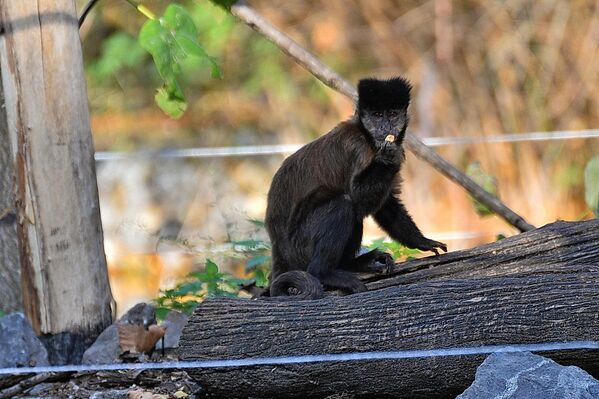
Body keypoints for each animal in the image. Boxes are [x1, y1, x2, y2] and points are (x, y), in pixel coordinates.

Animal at [264, 76, 448, 298]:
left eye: (392, 114)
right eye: (377, 116)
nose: (385, 127)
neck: (368, 137)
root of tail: (279, 253)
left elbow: (387, 204)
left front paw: (421, 241)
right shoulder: (358, 150)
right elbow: (360, 199)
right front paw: (386, 159)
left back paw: (351, 264)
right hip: (299, 248)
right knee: (343, 203)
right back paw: (325, 273)